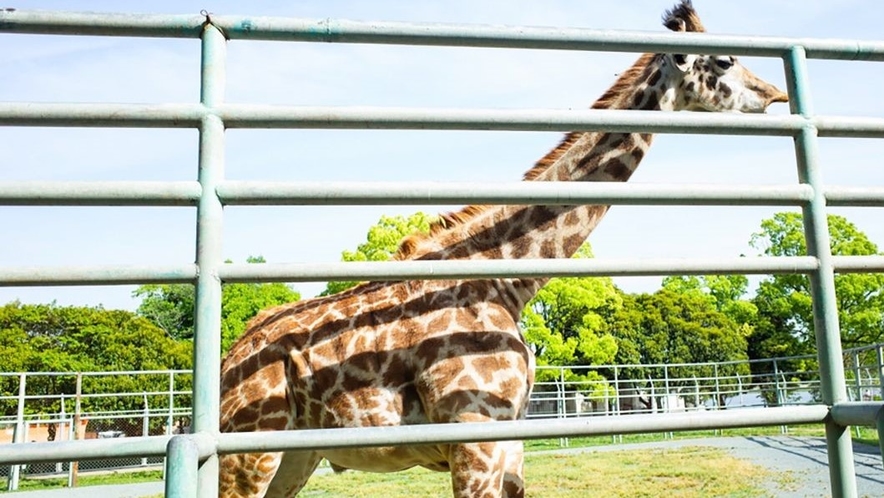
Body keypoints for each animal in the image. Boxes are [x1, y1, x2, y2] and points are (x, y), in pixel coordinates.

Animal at [219, 1, 788, 496]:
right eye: (724, 60)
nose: (776, 94)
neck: (508, 279)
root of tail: (229, 358)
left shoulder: (509, 442)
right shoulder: (474, 437)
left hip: (297, 454)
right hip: (250, 447)